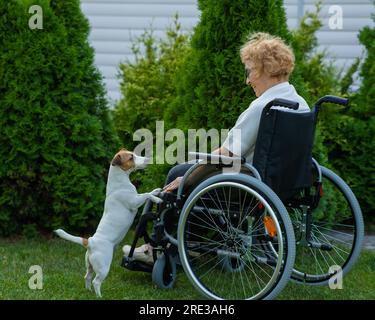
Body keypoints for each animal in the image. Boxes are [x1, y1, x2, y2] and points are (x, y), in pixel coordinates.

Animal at [54, 149, 163, 298]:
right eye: (131, 157)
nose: (148, 159)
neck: (120, 182)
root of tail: (90, 242)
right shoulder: (133, 202)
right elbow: (146, 194)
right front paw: (157, 199)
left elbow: (147, 192)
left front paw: (157, 191)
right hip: (103, 267)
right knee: (96, 281)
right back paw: (99, 296)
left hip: (90, 265)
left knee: (87, 277)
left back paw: (88, 292)